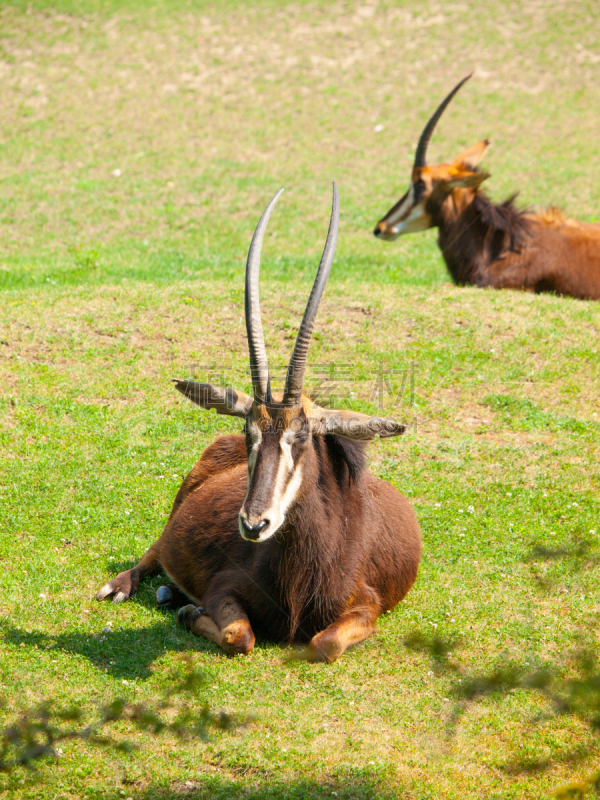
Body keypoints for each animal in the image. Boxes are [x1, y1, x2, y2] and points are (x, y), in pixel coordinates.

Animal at [95, 184, 422, 660]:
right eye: (250, 432)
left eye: (301, 437)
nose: (253, 524)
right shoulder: (223, 589)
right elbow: (240, 637)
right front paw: (190, 612)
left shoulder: (367, 607)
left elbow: (322, 643)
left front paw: (185, 609)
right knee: (155, 551)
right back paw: (129, 587)